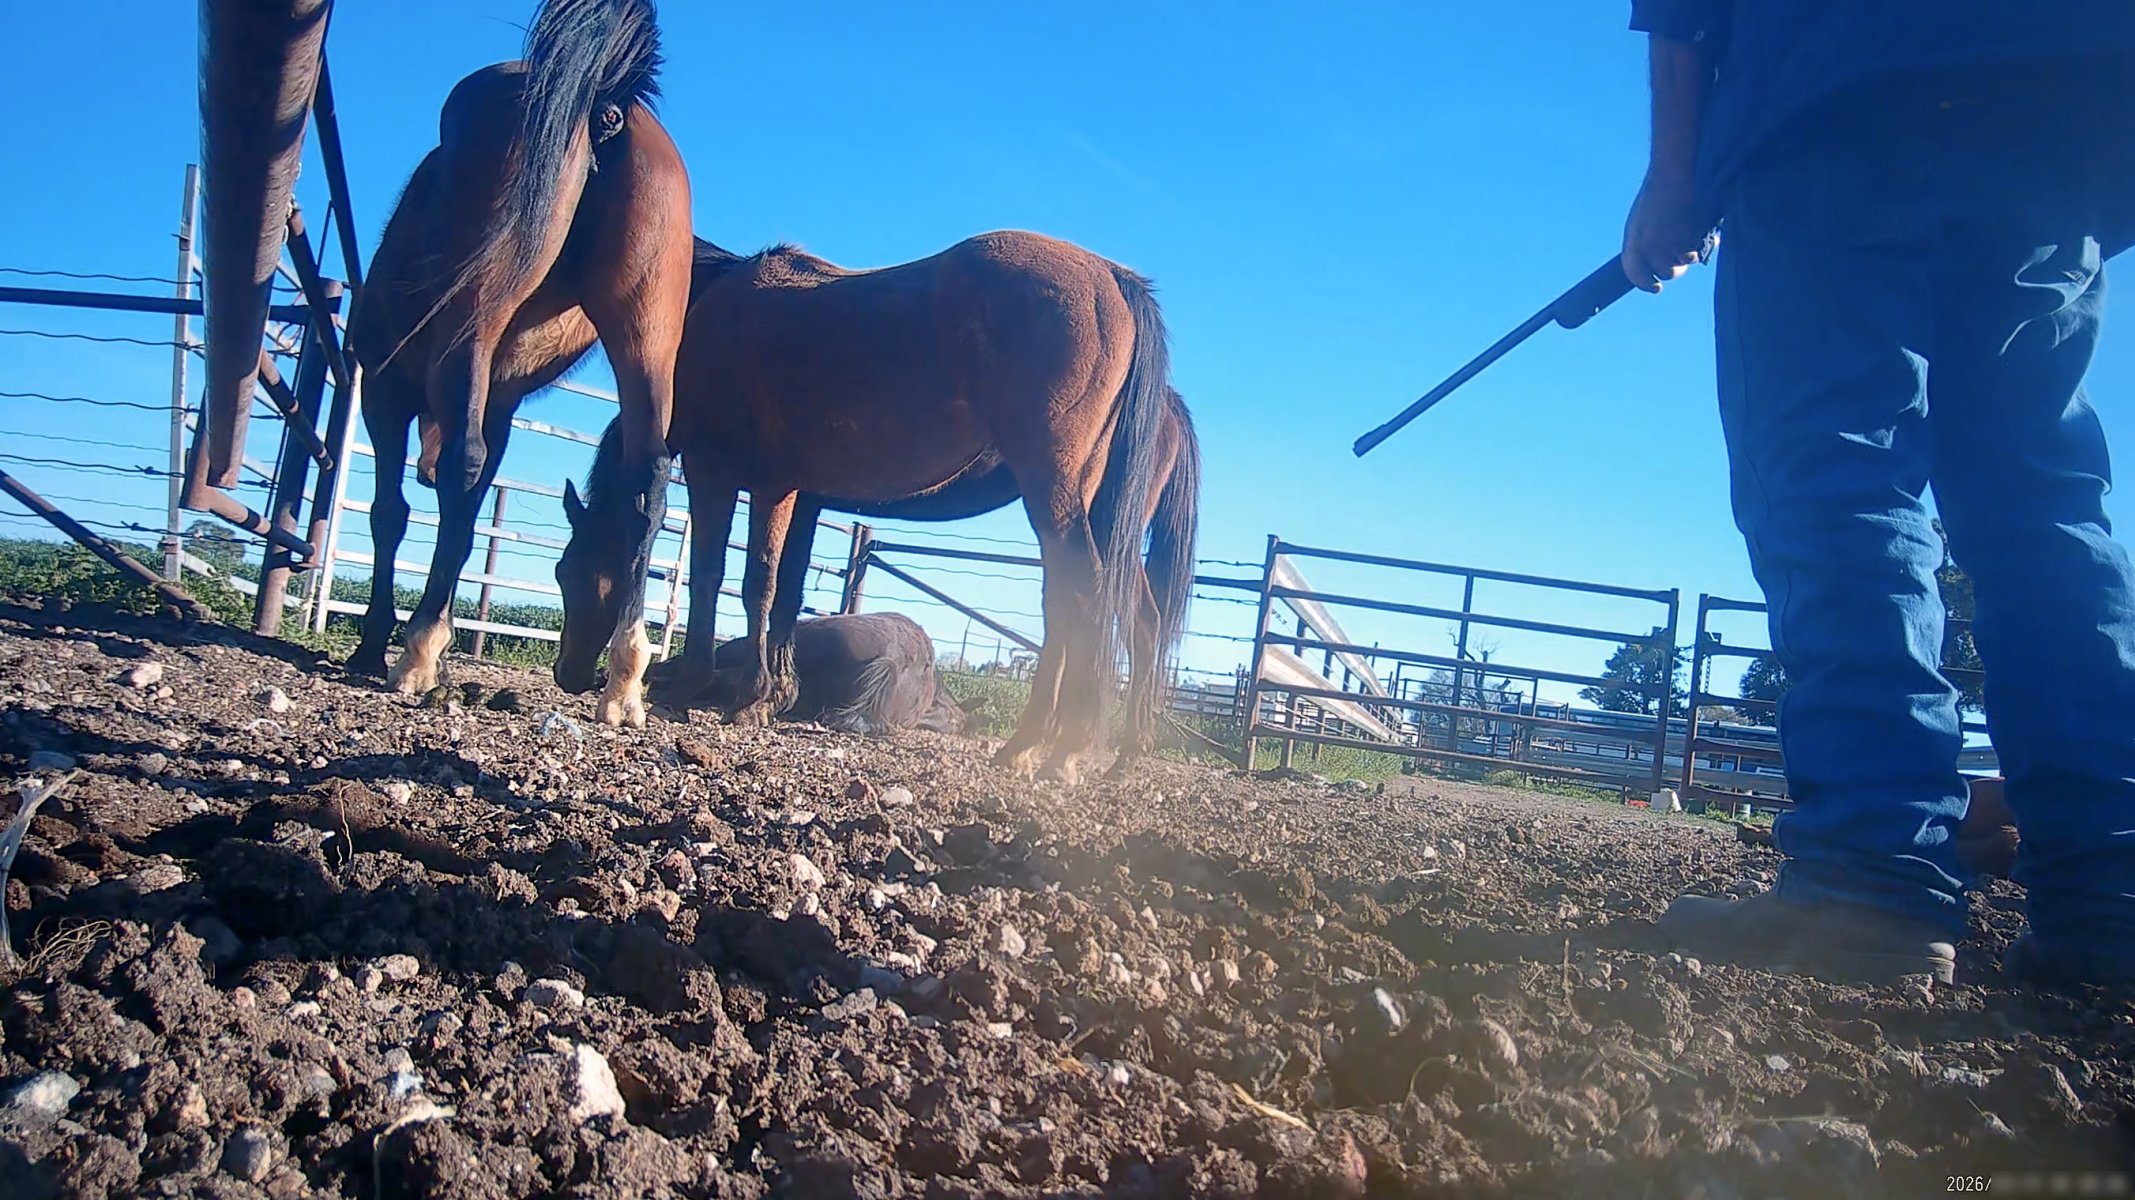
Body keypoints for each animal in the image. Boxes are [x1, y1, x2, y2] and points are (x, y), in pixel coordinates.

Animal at [344, 0, 691, 729]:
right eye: (562, 575)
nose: (573, 676)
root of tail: (606, 108)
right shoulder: (499, 404)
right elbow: (465, 511)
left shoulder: (384, 393)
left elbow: (393, 512)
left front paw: (378, 644)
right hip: (646, 332)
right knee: (649, 479)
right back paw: (624, 684)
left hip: (477, 308)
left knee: (461, 461)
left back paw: (414, 655)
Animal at [555, 233, 1200, 780]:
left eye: (570, 573)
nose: (569, 676)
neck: (705, 312)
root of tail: (1113, 279)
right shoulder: (793, 491)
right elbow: (780, 590)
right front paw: (769, 696)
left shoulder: (720, 473)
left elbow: (726, 578)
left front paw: (703, 689)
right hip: (1095, 512)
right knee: (1121, 615)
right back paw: (1093, 752)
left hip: (1059, 495)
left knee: (1082, 598)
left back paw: (1051, 748)